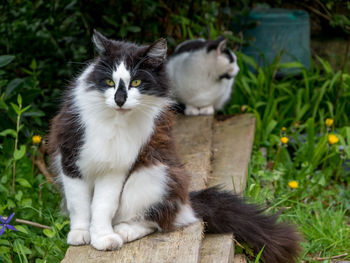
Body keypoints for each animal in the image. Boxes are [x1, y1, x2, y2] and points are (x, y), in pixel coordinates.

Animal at [47, 29, 302, 262]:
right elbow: (79, 203)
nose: (120, 100)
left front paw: (102, 237)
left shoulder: (116, 167)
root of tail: (187, 201)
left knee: (159, 221)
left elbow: (102, 206)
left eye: (136, 82)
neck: (115, 121)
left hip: (154, 174)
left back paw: (124, 230)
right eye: (109, 82)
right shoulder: (70, 157)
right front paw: (80, 233)